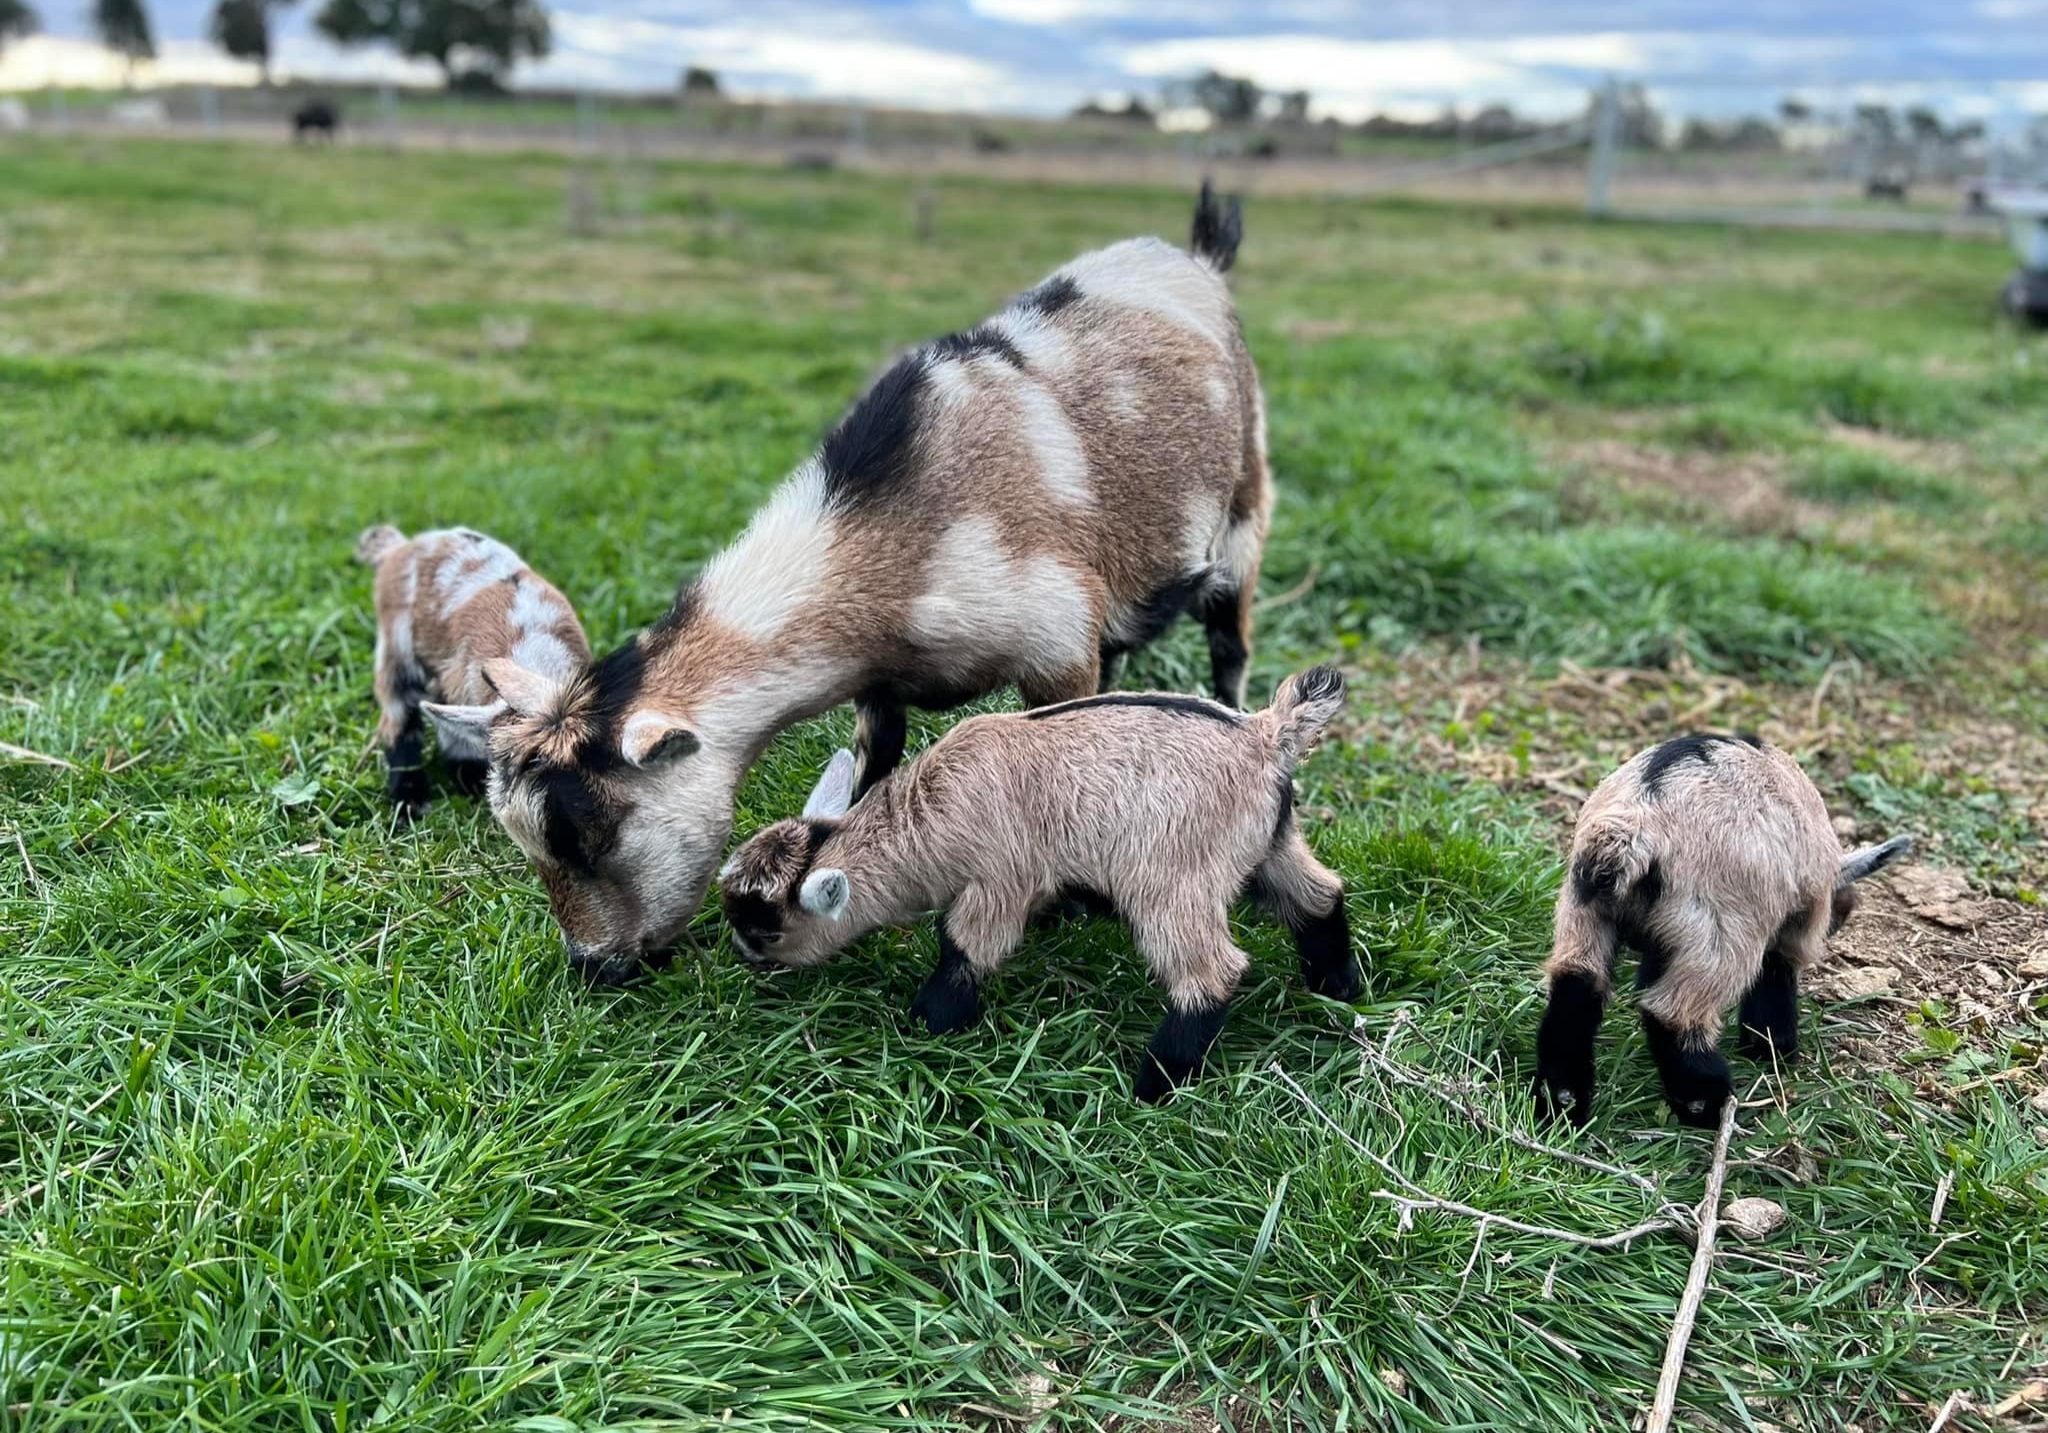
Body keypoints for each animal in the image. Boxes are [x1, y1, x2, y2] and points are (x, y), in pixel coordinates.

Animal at [425, 182, 1269, 986]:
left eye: (592, 835)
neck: (896, 533)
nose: (594, 965)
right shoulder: (881, 682)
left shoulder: (1055, 648)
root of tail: (1198, 255)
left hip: (1245, 512)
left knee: (1229, 642)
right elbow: (875, 765)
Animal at [716, 667, 1359, 1105]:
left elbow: (967, 946)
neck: (929, 817)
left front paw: (927, 1022)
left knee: (1210, 971)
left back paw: (1156, 1081)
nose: (743, 956)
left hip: (1172, 878)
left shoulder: (1000, 877)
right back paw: (1339, 987)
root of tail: (1266, 736)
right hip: (1268, 847)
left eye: (767, 931)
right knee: (1320, 896)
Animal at [1540, 736, 1916, 1130]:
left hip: (1584, 909)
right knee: (1673, 1012)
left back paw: (1563, 1101)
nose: (1841, 916)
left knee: (1577, 983)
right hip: (1722, 931)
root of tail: (1638, 822)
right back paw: (1707, 1104)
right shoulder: (1795, 927)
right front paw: (1772, 1050)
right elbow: (1775, 977)